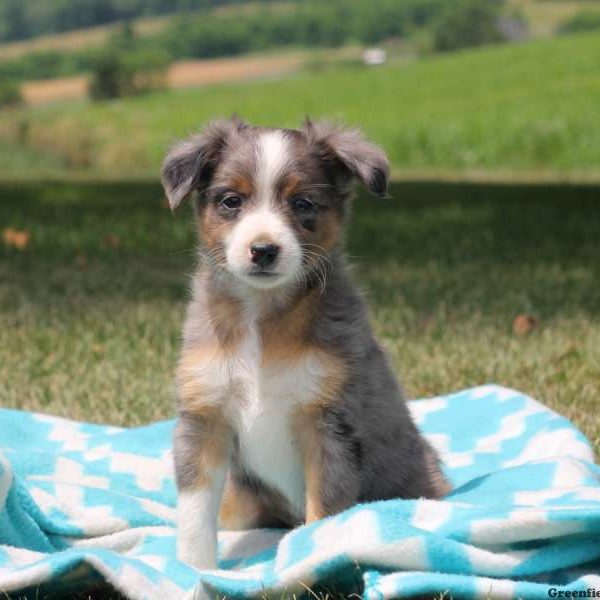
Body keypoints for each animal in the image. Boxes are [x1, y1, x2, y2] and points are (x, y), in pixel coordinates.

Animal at [161, 116, 450, 568]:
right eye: (231, 201)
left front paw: (306, 563)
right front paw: (192, 571)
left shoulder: (329, 426)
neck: (261, 318)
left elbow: (324, 513)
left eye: (303, 204)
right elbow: (194, 513)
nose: (263, 250)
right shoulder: (205, 416)